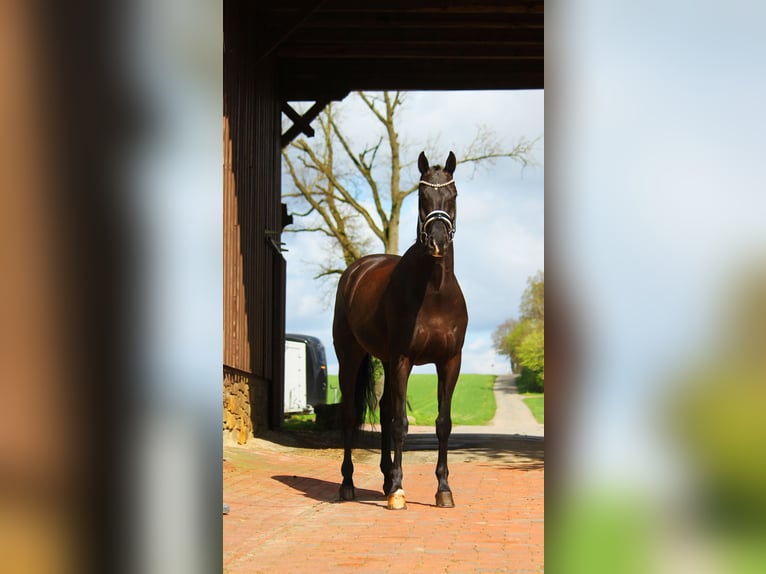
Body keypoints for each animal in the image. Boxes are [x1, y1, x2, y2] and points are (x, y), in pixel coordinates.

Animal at [332, 151, 468, 510]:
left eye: (453, 195)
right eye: (422, 197)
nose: (437, 241)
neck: (434, 292)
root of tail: (355, 271)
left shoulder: (449, 361)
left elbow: (443, 424)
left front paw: (443, 490)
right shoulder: (403, 359)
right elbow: (400, 425)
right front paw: (397, 491)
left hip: (386, 360)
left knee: (383, 409)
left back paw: (383, 478)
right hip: (350, 358)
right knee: (350, 415)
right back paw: (349, 484)